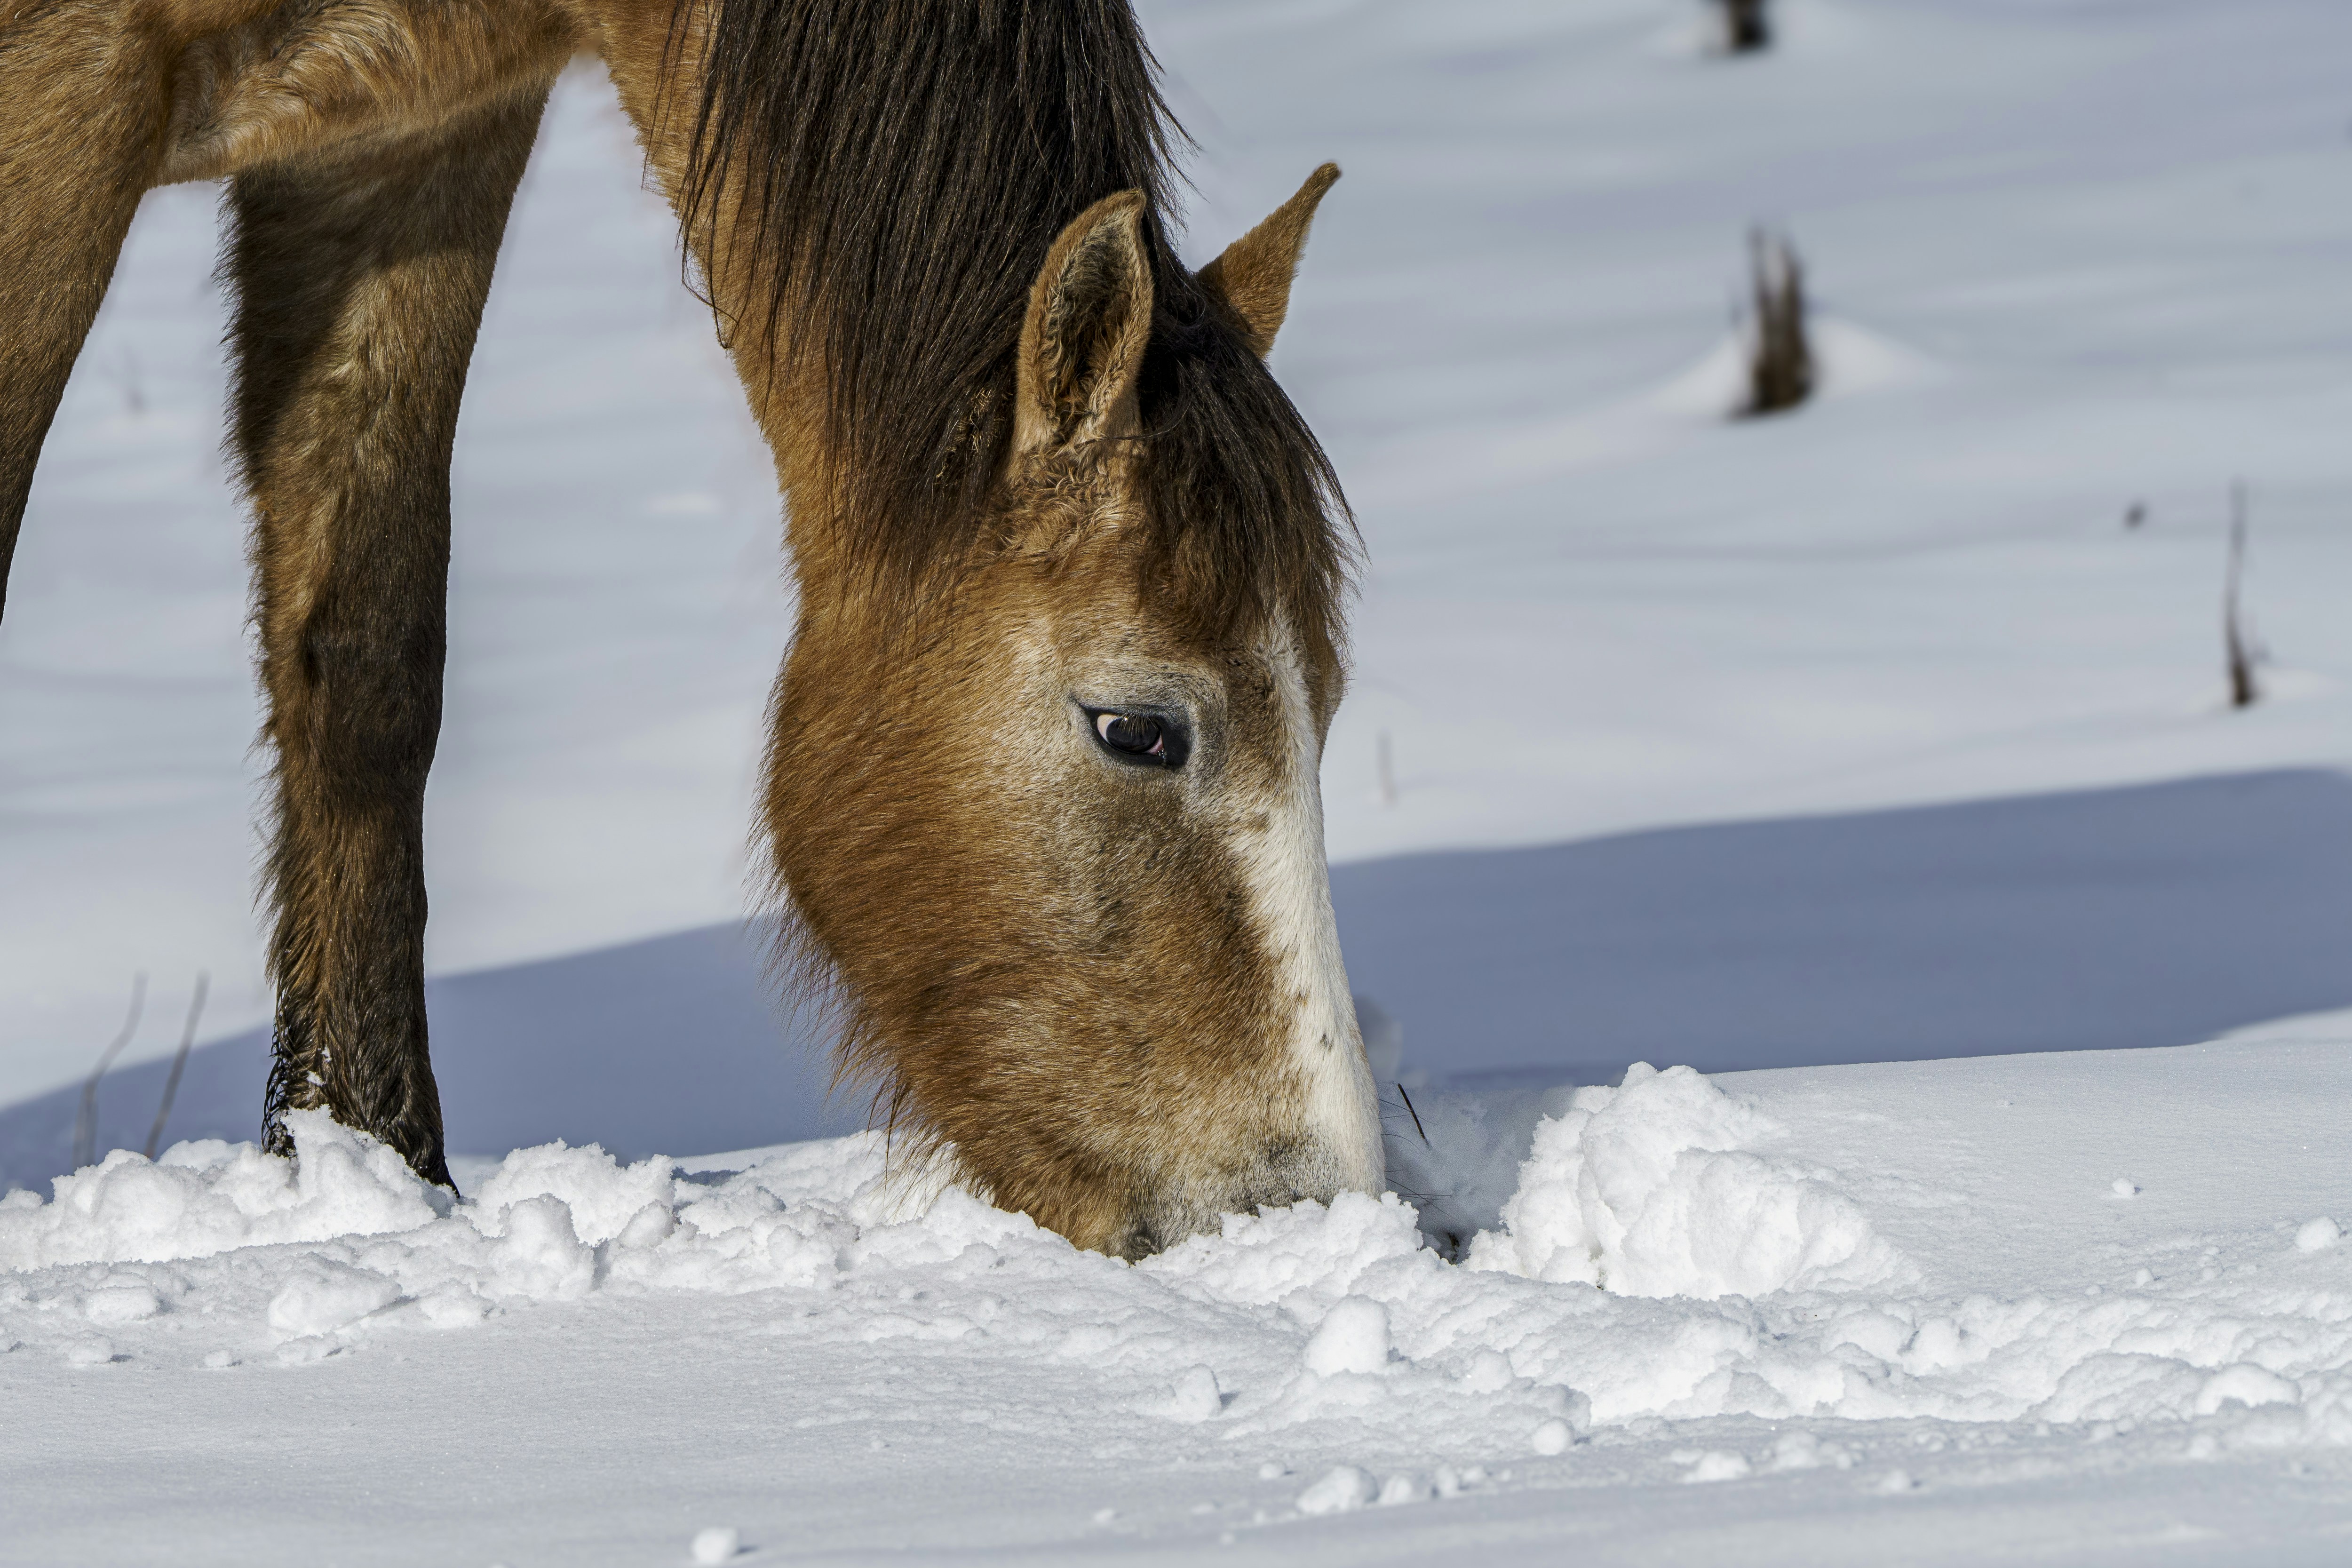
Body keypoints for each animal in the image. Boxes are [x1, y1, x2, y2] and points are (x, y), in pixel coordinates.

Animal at [0, 0, 1382, 1258]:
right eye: (1137, 729)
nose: (1310, 1206)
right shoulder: (63, 95)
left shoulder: (411, 138)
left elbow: (369, 668)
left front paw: (370, 1174)